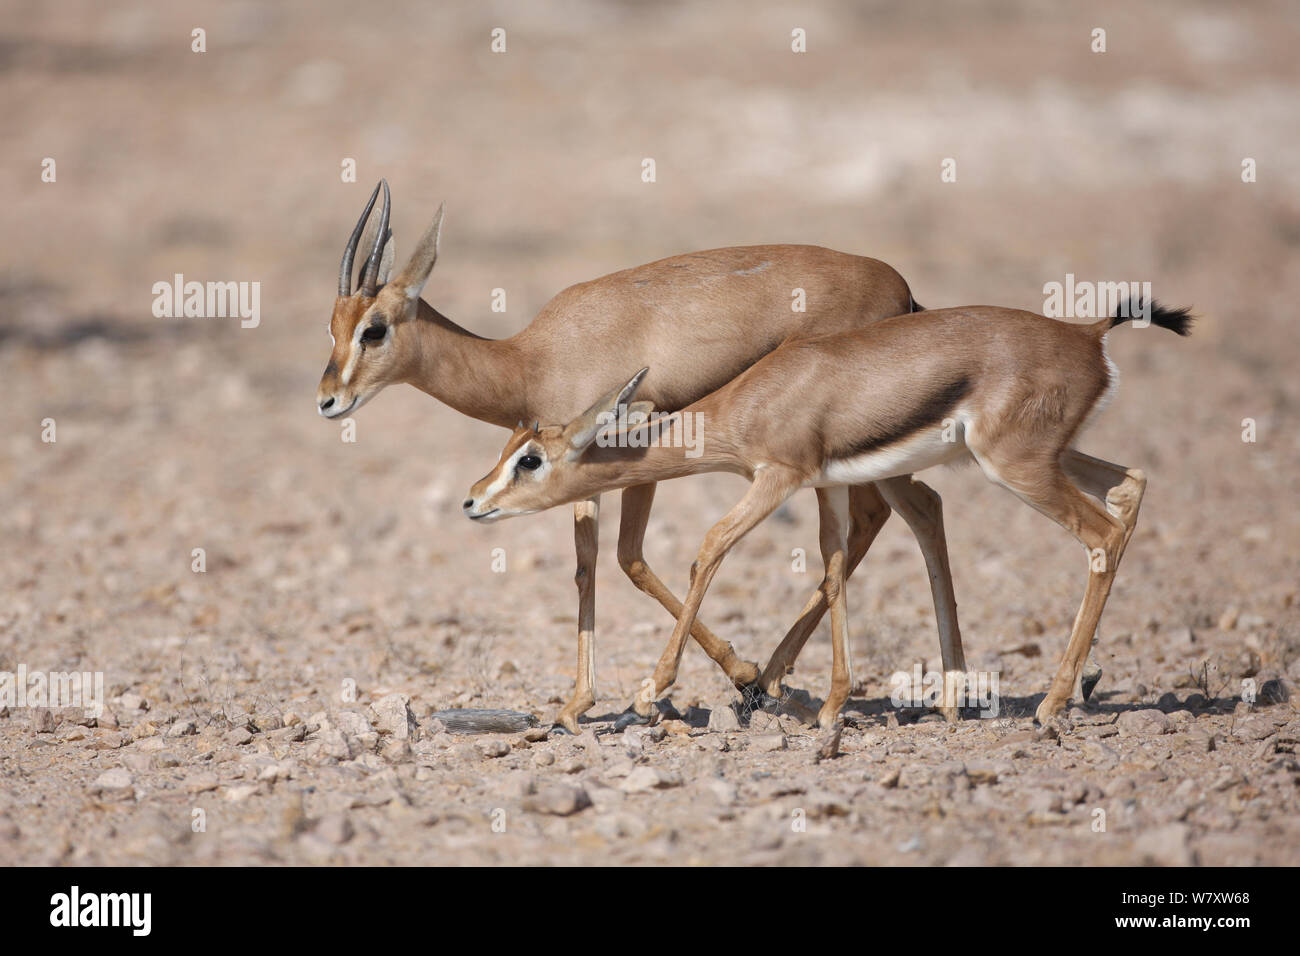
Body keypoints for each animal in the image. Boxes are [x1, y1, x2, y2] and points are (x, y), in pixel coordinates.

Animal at [317, 180, 967, 732]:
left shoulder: (629, 440)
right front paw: (576, 704)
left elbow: (627, 559)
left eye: (374, 328)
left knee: (893, 513)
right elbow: (586, 566)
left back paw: (782, 684)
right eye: (333, 326)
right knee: (906, 512)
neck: (531, 357)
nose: (328, 401)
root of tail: (902, 288)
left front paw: (716, 677)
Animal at [464, 301, 1193, 727]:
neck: (756, 397)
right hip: (1047, 457)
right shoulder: (827, 485)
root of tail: (1087, 334)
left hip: (1016, 465)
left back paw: (1049, 705)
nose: (473, 501)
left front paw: (652, 692)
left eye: (530, 458)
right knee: (1130, 487)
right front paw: (833, 707)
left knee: (1100, 537)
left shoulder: (776, 478)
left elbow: (710, 546)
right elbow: (836, 565)